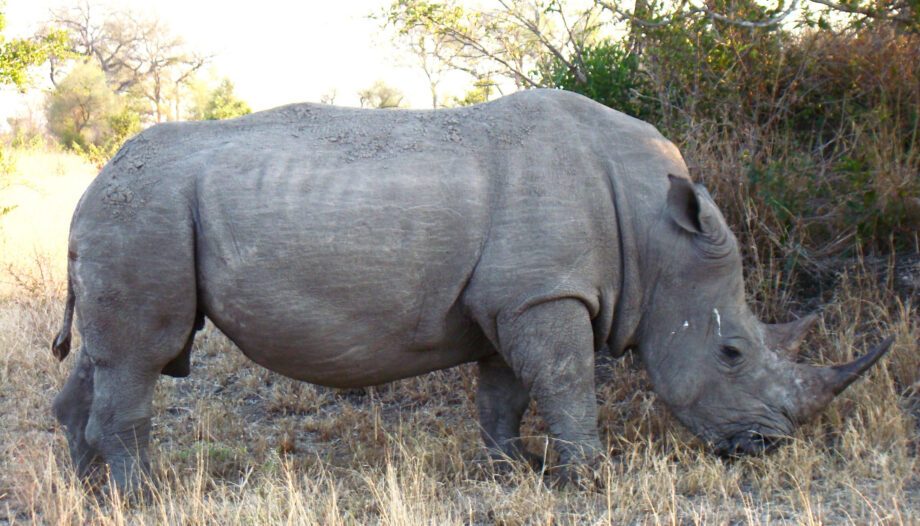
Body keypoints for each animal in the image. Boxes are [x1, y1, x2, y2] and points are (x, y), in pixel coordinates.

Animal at [51, 89, 890, 492]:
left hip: (130, 218)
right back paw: (145, 497)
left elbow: (506, 392)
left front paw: (514, 471)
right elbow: (568, 382)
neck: (656, 234)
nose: (768, 448)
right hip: (146, 215)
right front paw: (591, 480)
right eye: (732, 351)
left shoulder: (517, 297)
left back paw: (90, 490)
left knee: (108, 357)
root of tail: (92, 185)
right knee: (142, 359)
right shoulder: (546, 295)